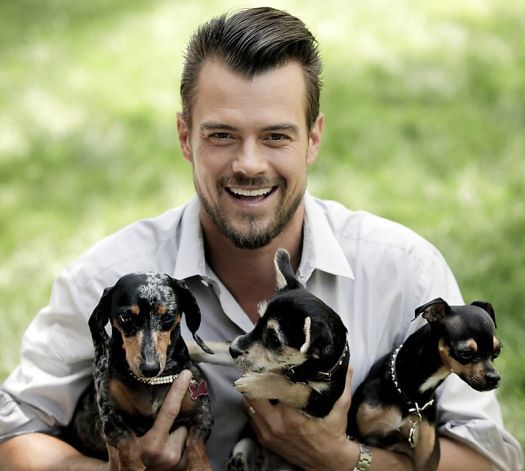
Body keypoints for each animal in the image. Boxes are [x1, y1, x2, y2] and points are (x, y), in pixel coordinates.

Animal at [68, 272, 215, 471]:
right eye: (125, 317)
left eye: (168, 316)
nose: (150, 368)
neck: (151, 384)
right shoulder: (110, 417)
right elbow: (127, 438)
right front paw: (132, 466)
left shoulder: (202, 413)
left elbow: (196, 442)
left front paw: (201, 466)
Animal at [348, 298, 500, 471]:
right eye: (465, 353)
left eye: (497, 351)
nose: (495, 378)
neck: (410, 397)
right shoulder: (356, 433)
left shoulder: (427, 458)